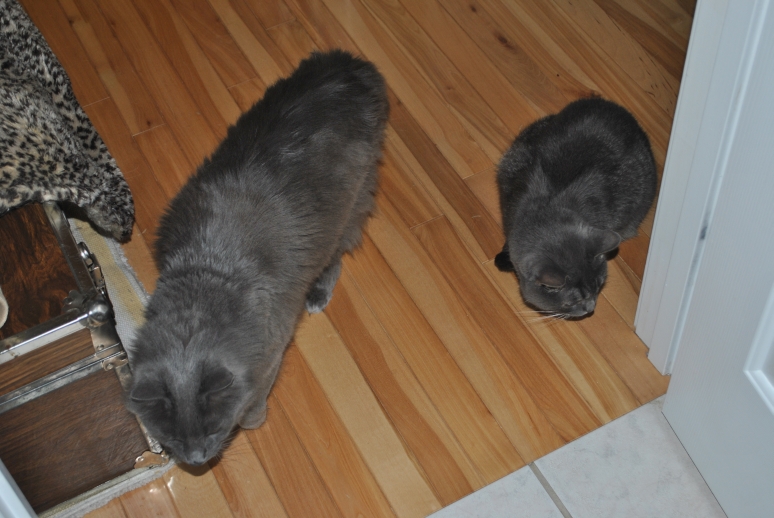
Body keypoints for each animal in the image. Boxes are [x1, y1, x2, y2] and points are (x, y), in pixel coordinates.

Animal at [124, 50, 389, 466]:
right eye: (173, 438)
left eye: (212, 431)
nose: (196, 460)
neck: (207, 277)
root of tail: (349, 64)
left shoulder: (271, 351)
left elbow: (254, 401)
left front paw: (253, 420)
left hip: (348, 204)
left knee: (338, 252)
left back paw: (318, 293)